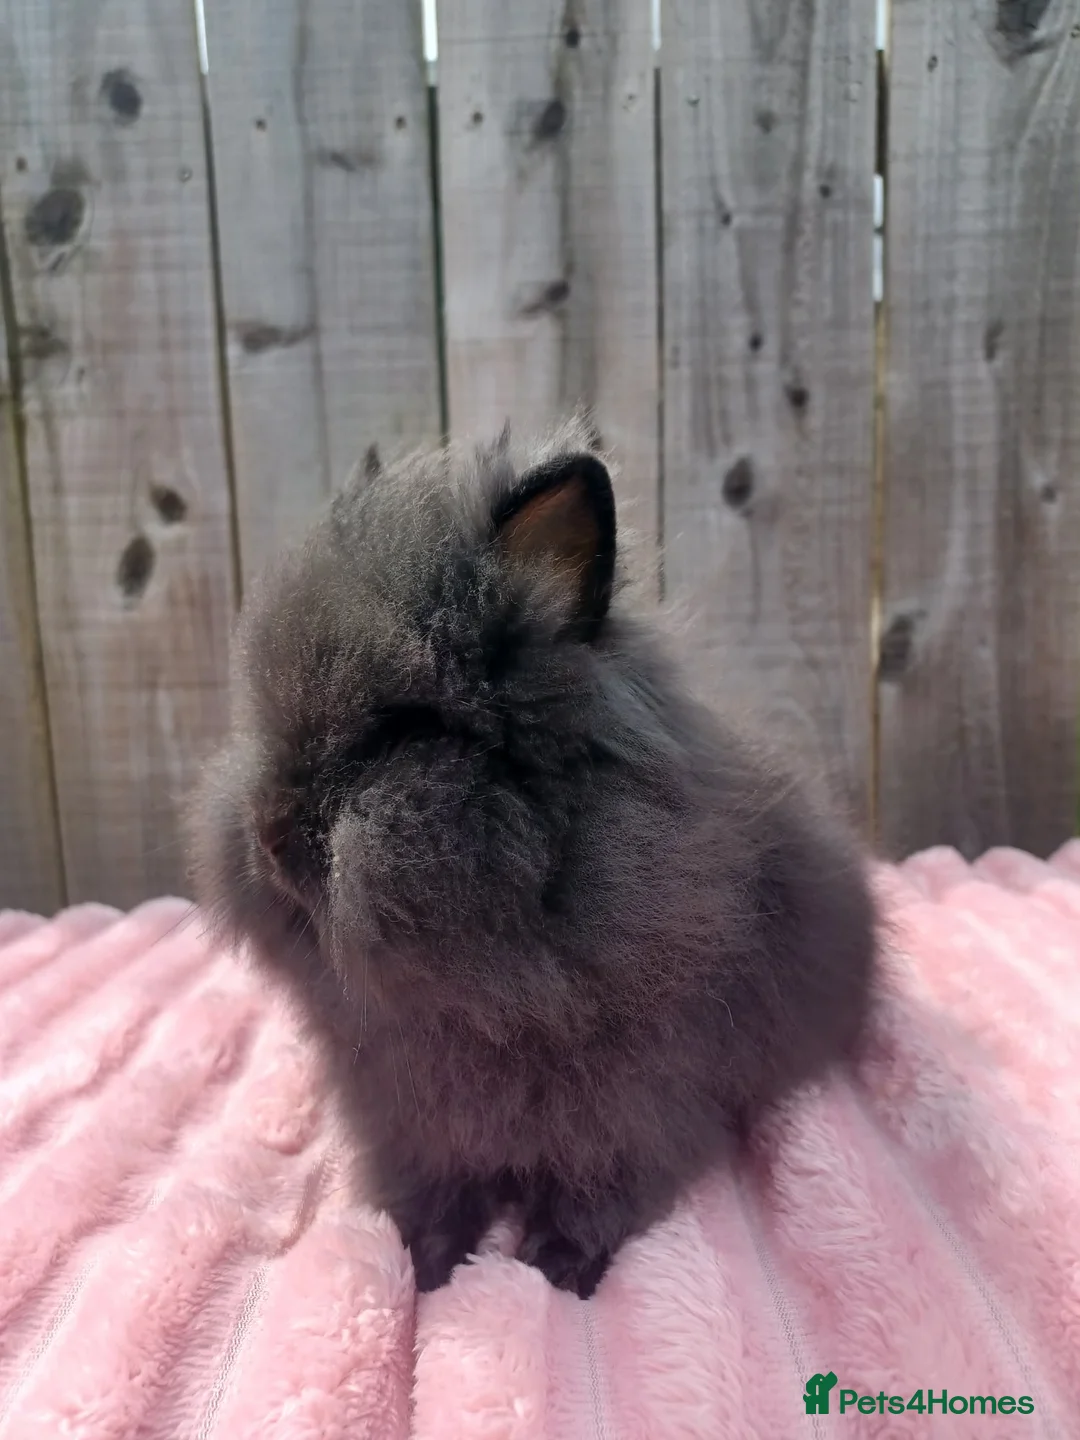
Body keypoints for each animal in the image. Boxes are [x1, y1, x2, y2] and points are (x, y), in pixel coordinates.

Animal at [188, 416, 878, 1300]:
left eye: (405, 735)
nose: (267, 835)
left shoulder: (632, 1110)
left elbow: (592, 1195)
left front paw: (554, 1271)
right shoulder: (410, 1124)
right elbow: (435, 1193)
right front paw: (421, 1263)